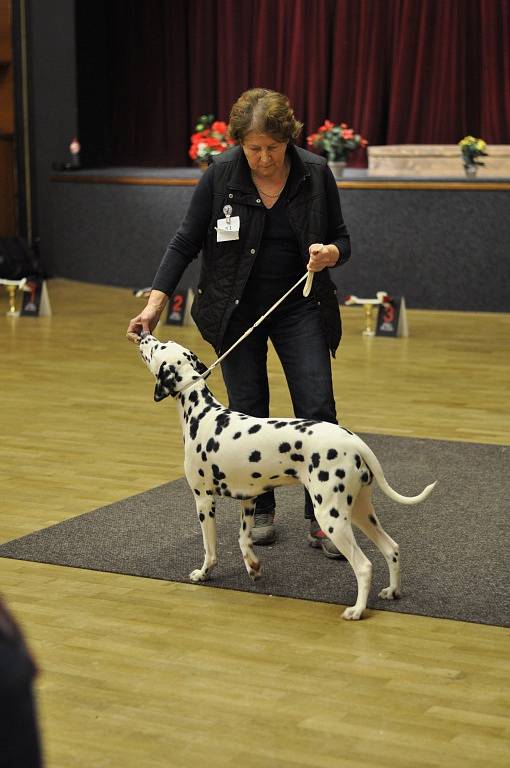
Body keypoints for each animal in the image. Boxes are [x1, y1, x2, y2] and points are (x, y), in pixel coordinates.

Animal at [132, 332, 438, 620]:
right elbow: (243, 539)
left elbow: (210, 548)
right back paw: (392, 591)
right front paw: (253, 567)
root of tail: (353, 440)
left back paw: (357, 610)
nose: (144, 334)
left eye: (158, 347)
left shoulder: (204, 501)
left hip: (331, 516)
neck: (201, 413)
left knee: (364, 566)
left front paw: (204, 573)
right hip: (361, 512)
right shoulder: (249, 499)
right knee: (391, 548)